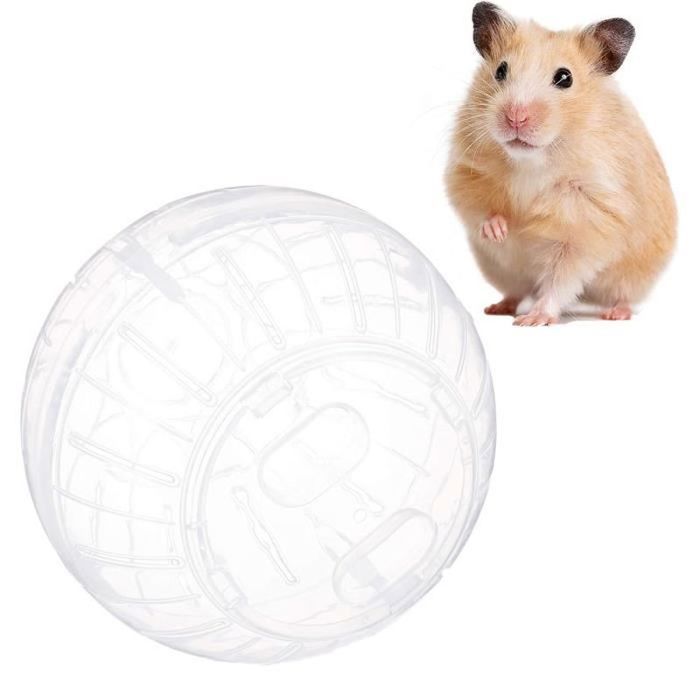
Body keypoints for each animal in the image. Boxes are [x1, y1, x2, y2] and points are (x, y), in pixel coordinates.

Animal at [445, 3, 676, 325]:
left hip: (634, 274)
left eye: (565, 78)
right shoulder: (466, 171)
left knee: (622, 294)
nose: (515, 117)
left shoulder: (587, 221)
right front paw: (500, 230)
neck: (532, 160)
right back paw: (497, 308)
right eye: (500, 70)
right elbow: (479, 207)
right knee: (516, 290)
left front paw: (534, 320)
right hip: (502, 271)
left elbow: (561, 277)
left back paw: (615, 314)